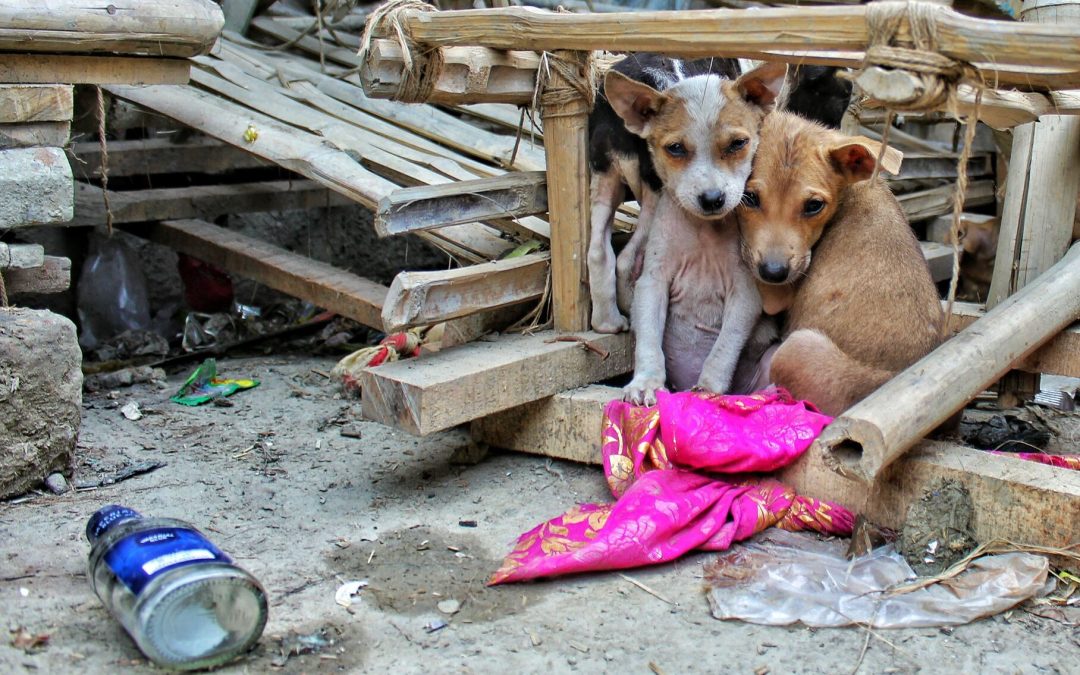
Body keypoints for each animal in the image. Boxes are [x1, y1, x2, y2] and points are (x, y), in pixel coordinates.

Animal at [738, 110, 941, 412]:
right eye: (749, 197)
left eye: (814, 206)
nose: (774, 273)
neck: (851, 191)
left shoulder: (777, 293)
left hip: (796, 347)